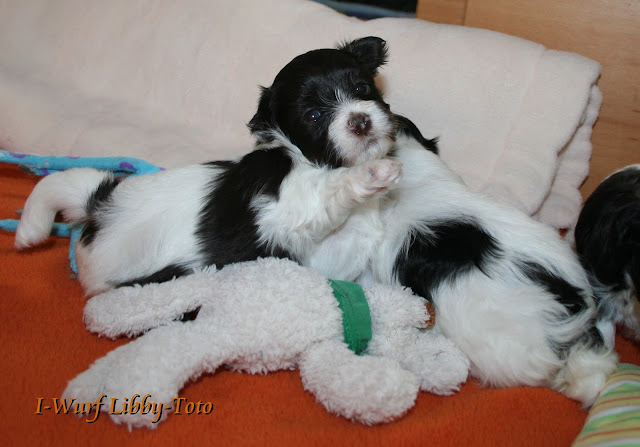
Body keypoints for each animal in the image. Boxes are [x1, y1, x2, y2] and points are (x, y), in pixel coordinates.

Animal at [13, 36, 400, 296]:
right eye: (315, 116)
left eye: (363, 89)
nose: (360, 121)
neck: (304, 156)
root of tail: (100, 203)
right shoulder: (291, 206)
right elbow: (330, 189)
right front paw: (376, 173)